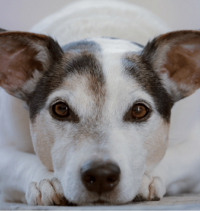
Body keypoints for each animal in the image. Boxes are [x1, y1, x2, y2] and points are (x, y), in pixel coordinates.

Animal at [0, 0, 200, 205]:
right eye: (61, 109)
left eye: (139, 110)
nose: (101, 175)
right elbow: (20, 162)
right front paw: (45, 180)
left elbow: (172, 157)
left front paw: (147, 178)